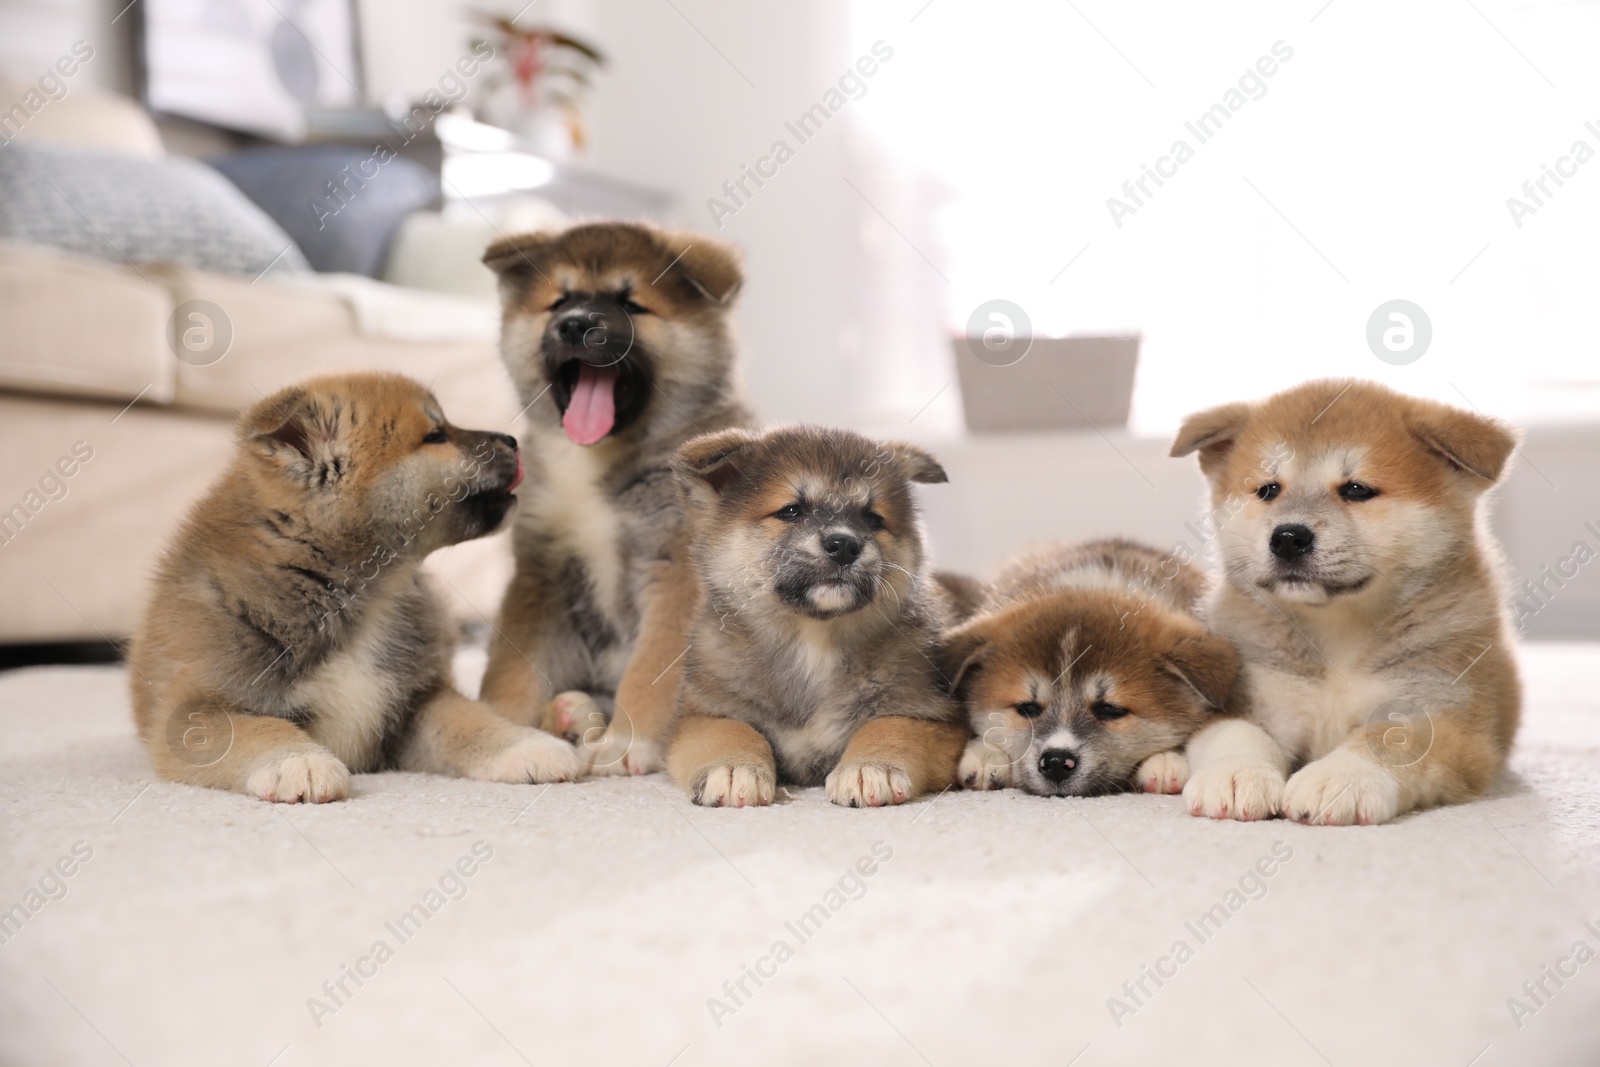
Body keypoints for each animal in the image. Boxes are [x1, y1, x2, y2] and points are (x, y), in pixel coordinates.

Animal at [129, 375, 582, 799]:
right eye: (435, 435)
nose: (513, 440)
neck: (364, 591)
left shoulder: (414, 701)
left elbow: (469, 719)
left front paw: (528, 745)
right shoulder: (195, 711)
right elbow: (258, 729)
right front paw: (299, 761)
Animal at [473, 223, 755, 777]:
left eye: (631, 304)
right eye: (560, 301)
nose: (575, 325)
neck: (596, 463)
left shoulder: (675, 575)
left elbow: (649, 670)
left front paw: (629, 742)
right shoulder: (540, 572)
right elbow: (514, 668)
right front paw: (505, 728)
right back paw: (567, 714)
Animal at [659, 425, 960, 809]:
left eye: (872, 519)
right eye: (791, 511)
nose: (844, 545)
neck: (813, 638)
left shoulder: (926, 713)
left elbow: (888, 728)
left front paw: (871, 766)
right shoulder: (701, 715)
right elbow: (729, 732)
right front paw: (732, 767)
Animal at [1177, 377, 1523, 825]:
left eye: (1356, 489)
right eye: (1268, 489)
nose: (1287, 537)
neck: (1338, 632)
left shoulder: (1444, 712)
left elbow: (1389, 737)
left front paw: (1342, 776)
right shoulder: (1247, 696)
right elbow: (1238, 733)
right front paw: (1237, 773)